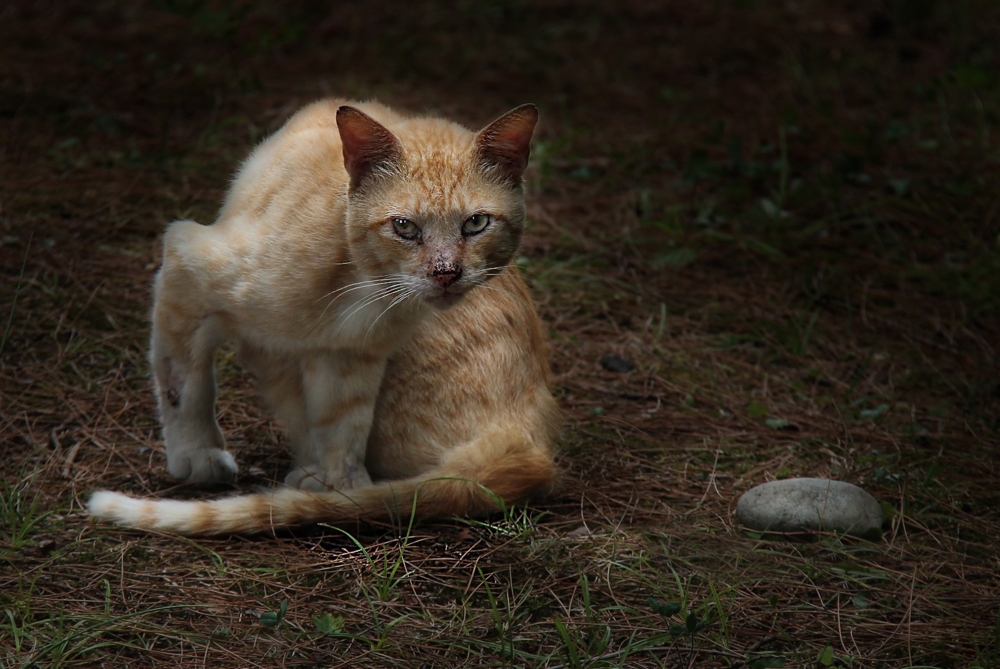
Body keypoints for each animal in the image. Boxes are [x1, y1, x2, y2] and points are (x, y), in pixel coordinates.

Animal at [89, 98, 560, 532]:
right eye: (404, 227)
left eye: (476, 223)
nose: (445, 273)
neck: (362, 287)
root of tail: (526, 442)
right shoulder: (186, 264)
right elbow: (184, 384)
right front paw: (196, 454)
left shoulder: (348, 356)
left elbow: (342, 429)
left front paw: (341, 493)